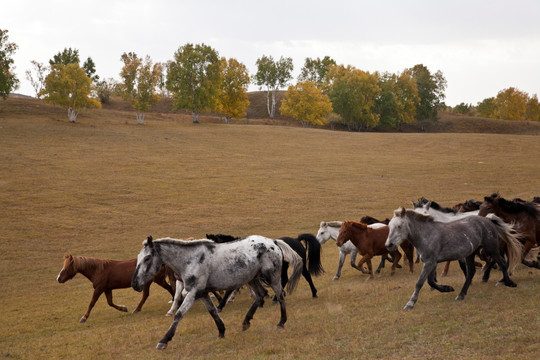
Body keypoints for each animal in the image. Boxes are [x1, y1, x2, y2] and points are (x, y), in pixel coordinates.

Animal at [386, 208, 520, 310]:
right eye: (389, 227)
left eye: (399, 226)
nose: (389, 245)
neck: (427, 235)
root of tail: (487, 220)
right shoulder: (432, 262)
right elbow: (431, 282)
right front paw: (447, 288)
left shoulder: (430, 262)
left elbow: (420, 283)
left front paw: (410, 303)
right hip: (471, 254)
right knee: (471, 272)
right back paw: (461, 295)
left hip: (491, 249)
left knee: (502, 263)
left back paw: (509, 282)